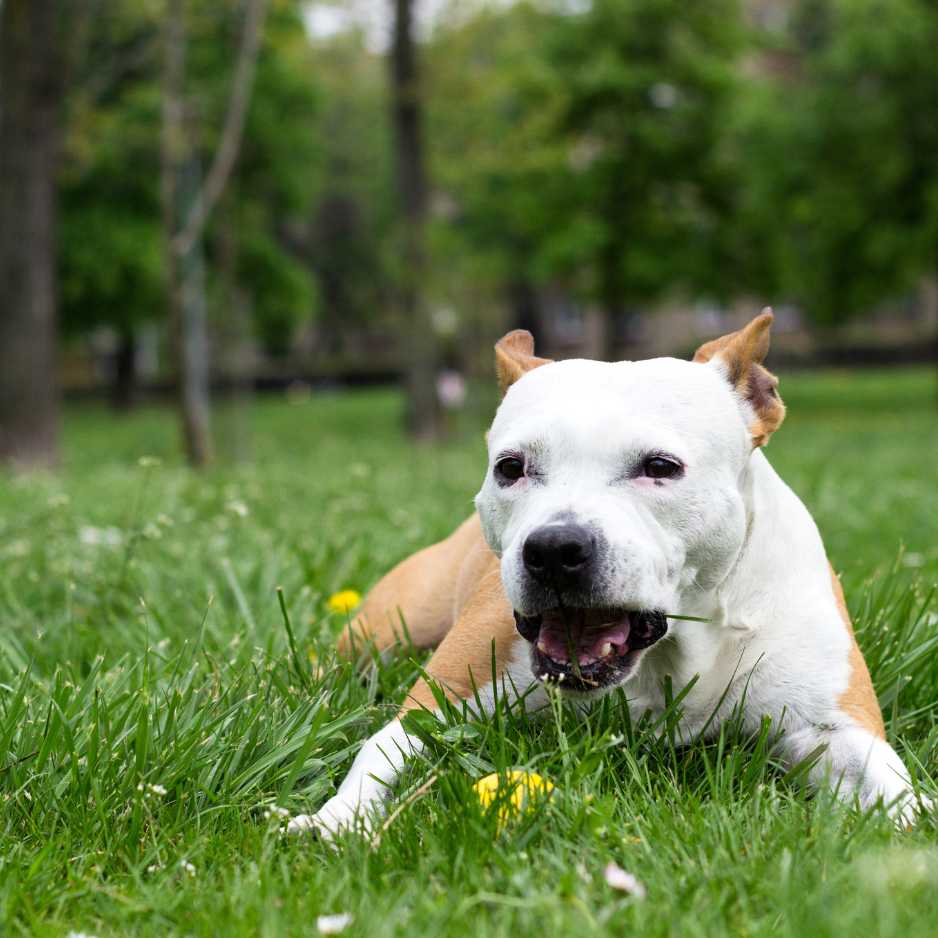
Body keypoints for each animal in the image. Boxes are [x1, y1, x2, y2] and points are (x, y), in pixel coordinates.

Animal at [288, 310, 916, 836]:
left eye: (660, 466)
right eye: (510, 467)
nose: (554, 549)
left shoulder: (832, 725)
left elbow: (899, 793)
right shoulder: (437, 707)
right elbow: (379, 750)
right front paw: (333, 820)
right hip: (386, 630)